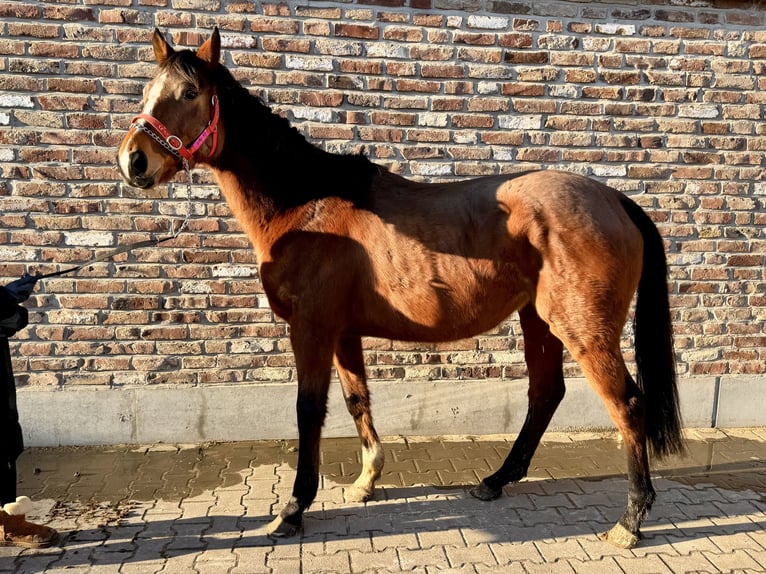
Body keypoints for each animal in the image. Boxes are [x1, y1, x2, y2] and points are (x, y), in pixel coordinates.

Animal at [118, 28, 684, 548]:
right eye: (147, 89)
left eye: (190, 92)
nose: (133, 161)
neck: (308, 205)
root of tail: (615, 200)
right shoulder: (343, 333)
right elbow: (356, 400)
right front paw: (365, 480)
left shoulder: (311, 329)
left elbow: (308, 410)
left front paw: (294, 508)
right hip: (538, 320)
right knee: (545, 393)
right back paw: (495, 481)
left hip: (582, 327)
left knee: (627, 405)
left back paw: (630, 521)